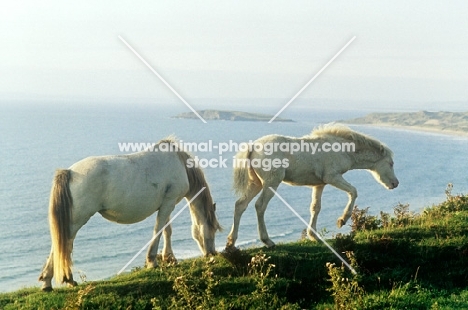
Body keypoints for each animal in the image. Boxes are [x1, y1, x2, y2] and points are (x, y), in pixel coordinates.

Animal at [38, 138, 221, 290]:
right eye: (212, 230)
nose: (212, 254)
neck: (178, 162)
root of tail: (69, 172)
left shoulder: (167, 204)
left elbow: (167, 231)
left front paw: (170, 258)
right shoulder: (168, 203)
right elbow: (159, 230)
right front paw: (152, 261)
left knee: (64, 244)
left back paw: (58, 280)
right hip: (76, 220)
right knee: (63, 244)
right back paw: (54, 280)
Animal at [227, 124, 398, 248]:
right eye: (391, 163)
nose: (395, 183)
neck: (342, 149)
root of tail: (252, 147)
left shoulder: (319, 184)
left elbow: (315, 207)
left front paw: (313, 236)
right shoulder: (332, 177)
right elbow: (353, 192)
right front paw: (342, 220)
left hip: (256, 183)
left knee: (240, 205)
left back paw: (231, 244)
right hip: (271, 182)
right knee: (260, 206)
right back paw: (267, 241)